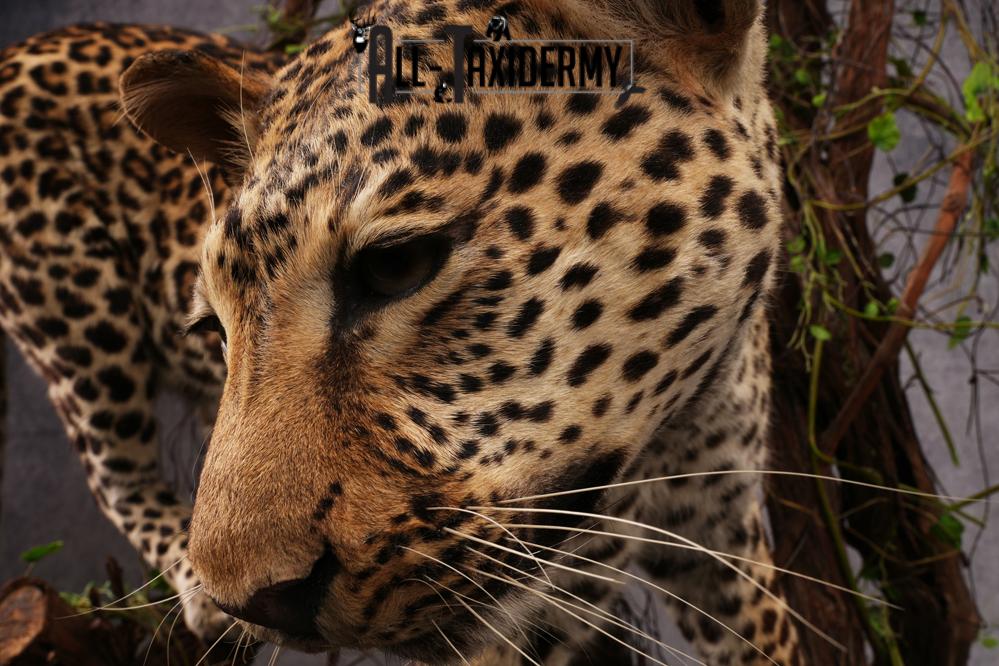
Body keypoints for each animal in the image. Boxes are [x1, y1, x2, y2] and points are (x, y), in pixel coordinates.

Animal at [0, 1, 802, 664]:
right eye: (214, 324)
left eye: (394, 266)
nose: (261, 604)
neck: (670, 428)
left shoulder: (725, 531)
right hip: (83, 333)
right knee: (113, 469)